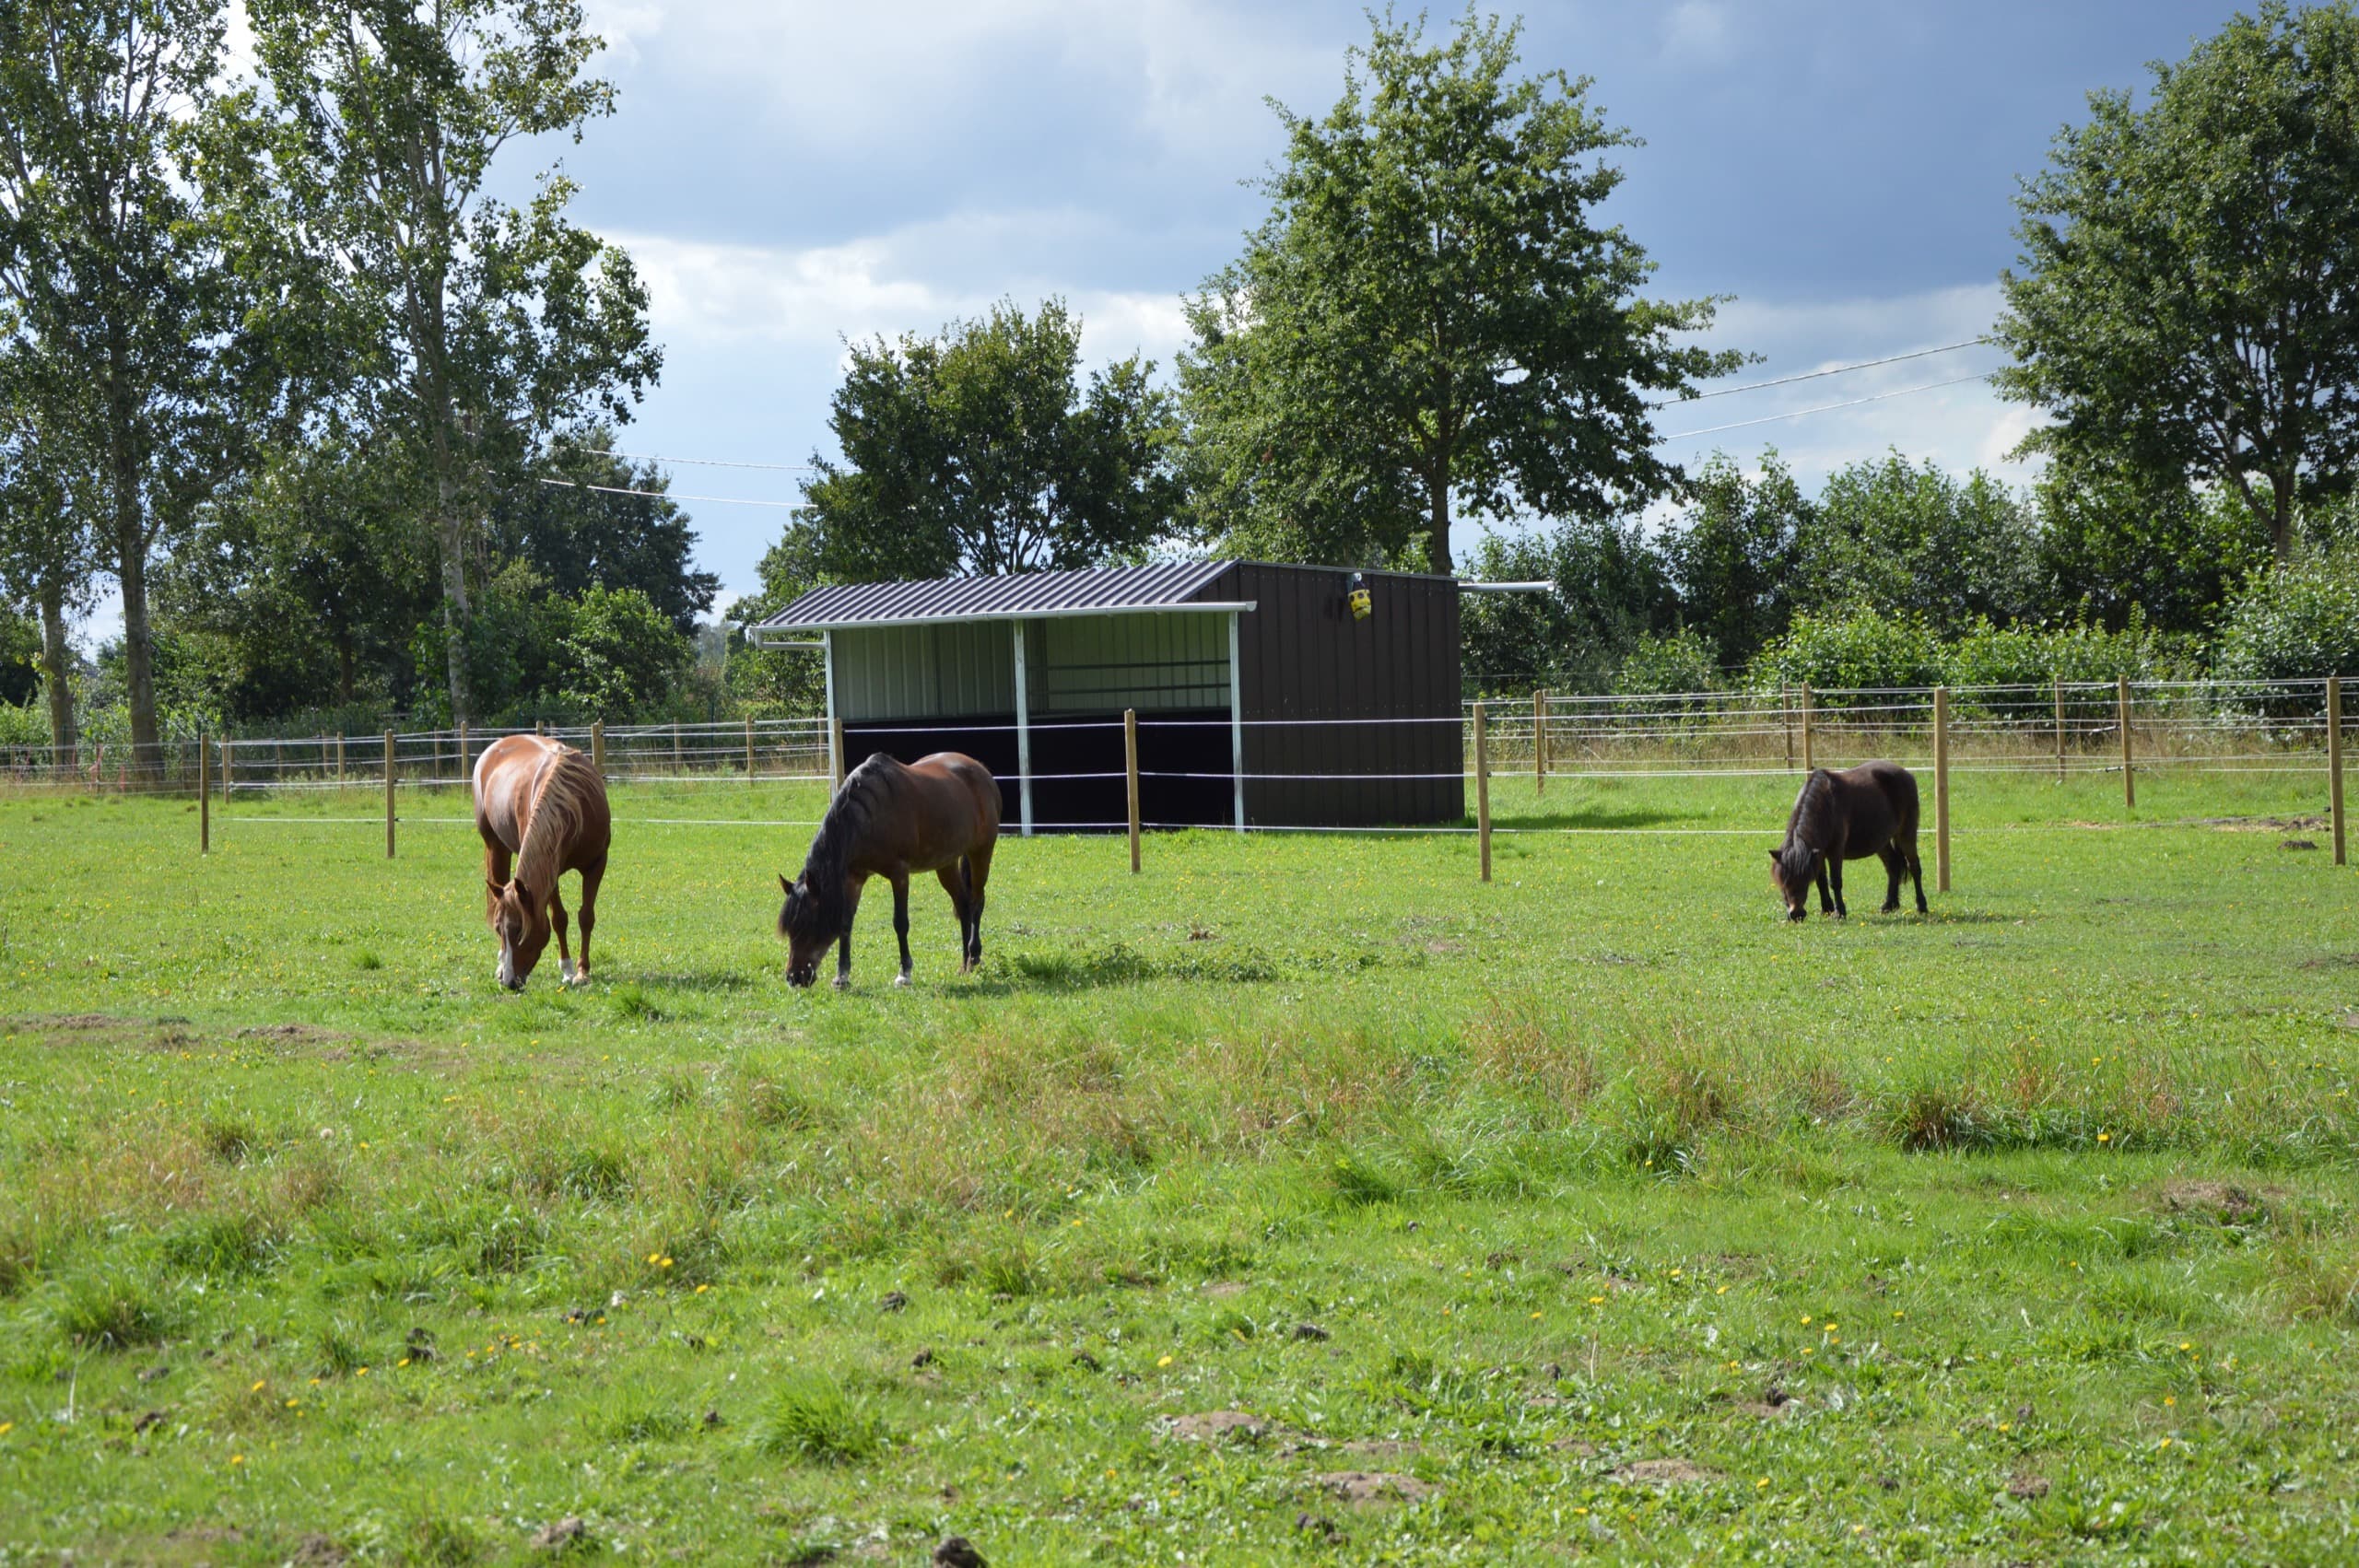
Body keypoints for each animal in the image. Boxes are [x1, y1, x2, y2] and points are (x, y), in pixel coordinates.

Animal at [473, 734, 612, 989]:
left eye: (520, 931)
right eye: (499, 929)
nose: (509, 982)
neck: (573, 804)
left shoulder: (596, 864)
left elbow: (586, 917)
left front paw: (582, 972)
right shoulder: (549, 871)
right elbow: (559, 919)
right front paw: (567, 969)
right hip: (496, 847)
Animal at [778, 751, 1001, 990]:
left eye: (809, 923)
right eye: (790, 929)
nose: (794, 977)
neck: (869, 816)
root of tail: (981, 770)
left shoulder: (899, 874)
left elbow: (900, 923)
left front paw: (904, 974)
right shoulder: (853, 878)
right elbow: (846, 924)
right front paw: (842, 977)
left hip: (981, 852)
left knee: (977, 902)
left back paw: (974, 956)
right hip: (946, 862)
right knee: (963, 905)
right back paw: (965, 965)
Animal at [1770, 761, 1927, 922]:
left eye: (1804, 880)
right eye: (1783, 883)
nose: (1796, 914)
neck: (1826, 803)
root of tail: (1907, 774)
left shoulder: (1835, 851)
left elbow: (1835, 881)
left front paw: (1839, 912)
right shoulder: (1818, 854)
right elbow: (1821, 881)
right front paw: (1826, 909)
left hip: (1906, 833)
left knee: (1915, 867)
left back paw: (1921, 906)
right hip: (1881, 842)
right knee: (1893, 866)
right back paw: (1889, 905)